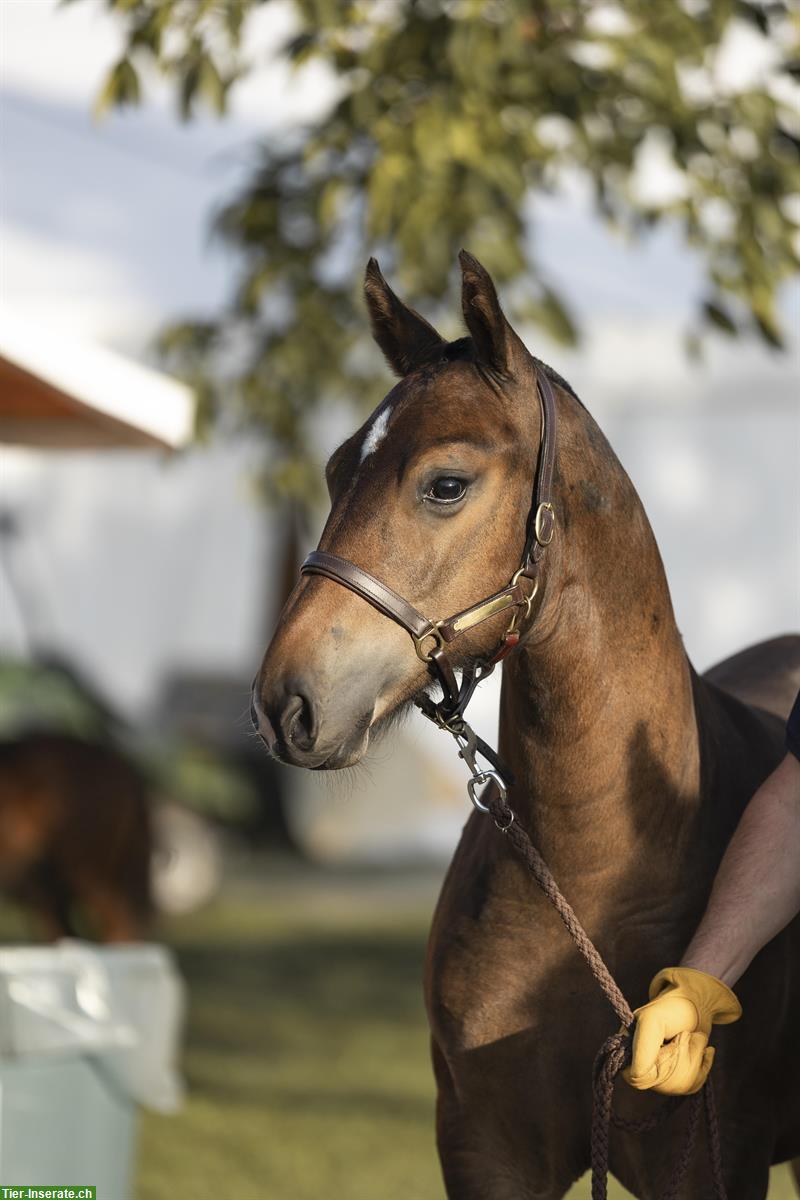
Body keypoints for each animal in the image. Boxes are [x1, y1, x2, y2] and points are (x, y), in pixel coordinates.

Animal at [251, 248, 800, 1195]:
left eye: (446, 484)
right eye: (332, 470)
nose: (287, 701)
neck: (596, 870)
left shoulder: (710, 1160)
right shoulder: (486, 1147)